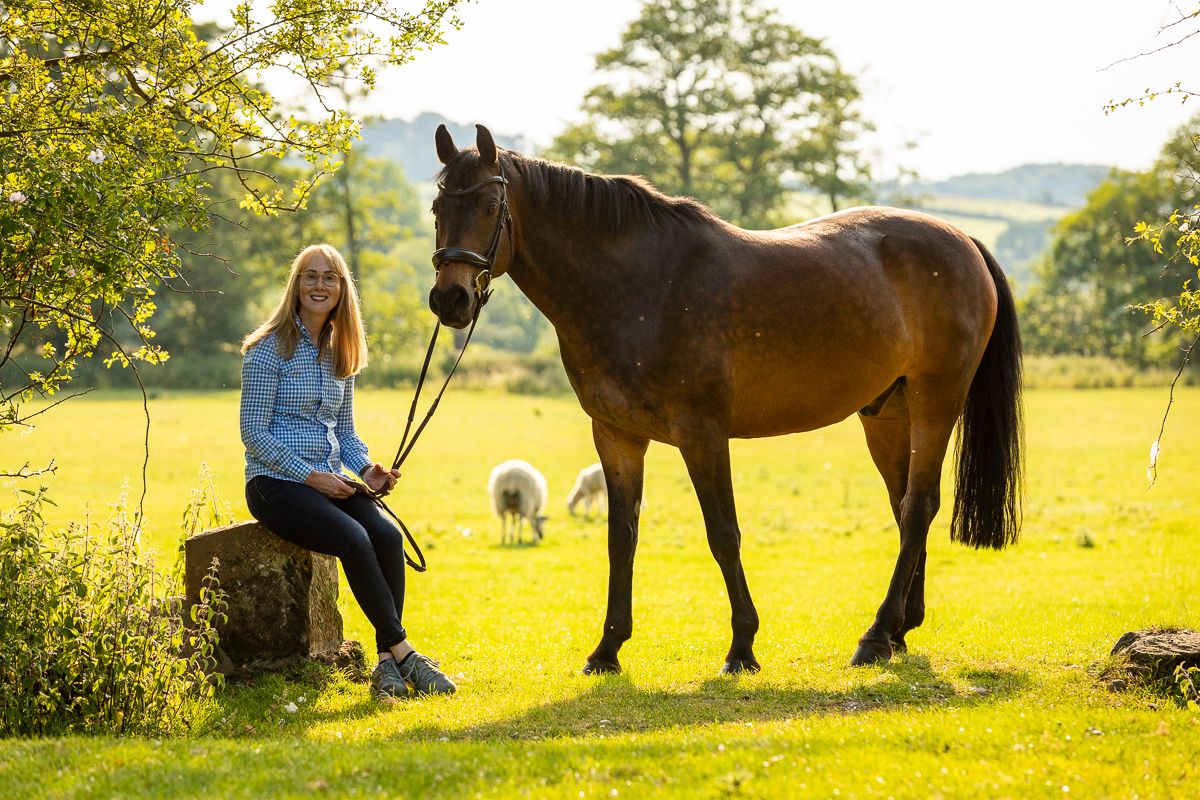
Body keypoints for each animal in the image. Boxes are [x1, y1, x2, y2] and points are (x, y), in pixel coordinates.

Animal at [428, 124, 1023, 674]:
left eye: (488, 205)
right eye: (437, 207)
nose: (449, 299)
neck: (639, 285)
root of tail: (965, 241)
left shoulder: (703, 434)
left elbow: (722, 534)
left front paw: (742, 646)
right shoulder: (617, 437)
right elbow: (622, 537)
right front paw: (608, 648)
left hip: (935, 402)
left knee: (919, 506)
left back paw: (875, 637)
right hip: (886, 416)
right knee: (904, 508)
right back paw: (898, 629)